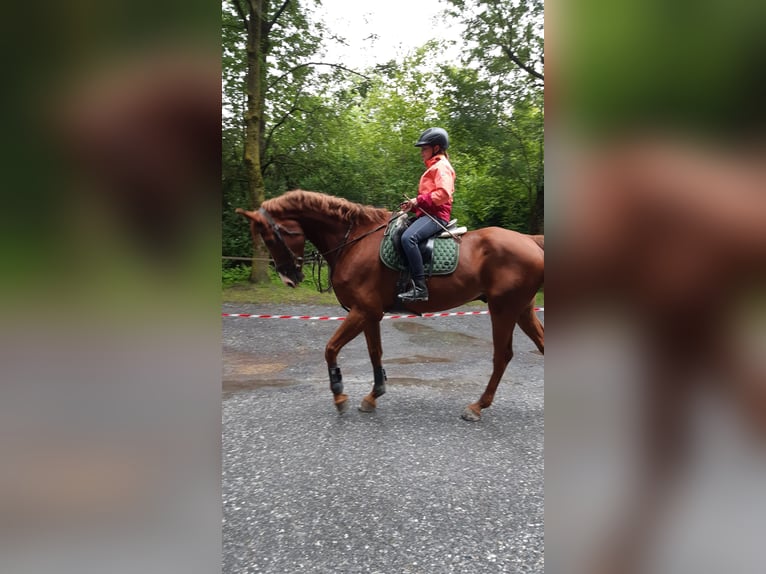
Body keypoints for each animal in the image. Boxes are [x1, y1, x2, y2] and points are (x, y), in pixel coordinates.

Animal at [236, 190, 544, 421]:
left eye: (269, 237)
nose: (289, 278)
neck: (353, 241)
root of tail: (530, 240)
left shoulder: (362, 311)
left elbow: (331, 349)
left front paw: (339, 393)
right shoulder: (370, 314)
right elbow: (375, 353)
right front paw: (374, 395)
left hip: (503, 310)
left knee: (502, 356)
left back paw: (477, 406)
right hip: (522, 310)